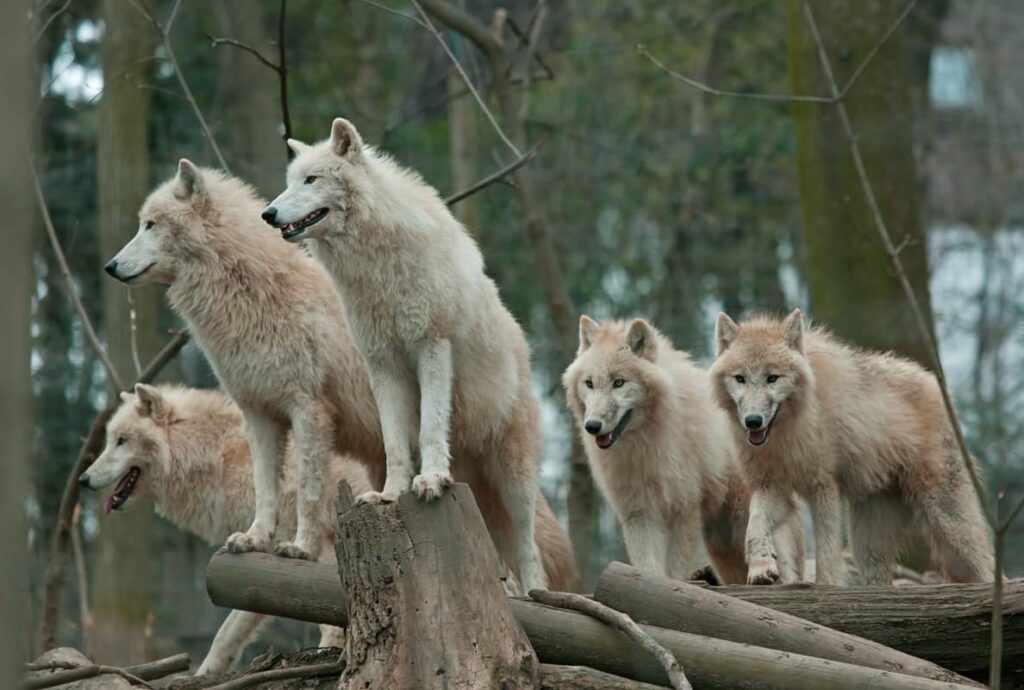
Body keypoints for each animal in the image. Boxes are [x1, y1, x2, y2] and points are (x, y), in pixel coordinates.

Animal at [78, 383, 373, 674]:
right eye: (109, 440)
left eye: (122, 440)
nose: (83, 479)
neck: (221, 458)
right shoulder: (260, 568)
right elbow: (225, 634)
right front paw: (206, 674)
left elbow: (333, 623)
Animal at [262, 119, 549, 590]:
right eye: (288, 182)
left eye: (311, 180)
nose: (268, 214)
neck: (375, 269)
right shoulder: (382, 363)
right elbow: (396, 440)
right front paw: (392, 492)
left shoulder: (431, 346)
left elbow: (429, 427)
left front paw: (429, 480)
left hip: (514, 477)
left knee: (529, 545)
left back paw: (537, 591)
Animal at [562, 316, 804, 584]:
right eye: (589, 383)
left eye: (619, 383)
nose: (592, 426)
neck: (645, 443)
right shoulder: (639, 513)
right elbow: (647, 566)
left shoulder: (683, 510)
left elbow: (674, 568)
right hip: (722, 548)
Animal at [709, 309, 994, 585]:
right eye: (740, 378)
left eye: (772, 378)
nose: (753, 421)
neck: (787, 431)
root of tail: (938, 386)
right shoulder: (771, 486)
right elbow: (755, 526)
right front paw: (761, 568)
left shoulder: (824, 486)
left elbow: (827, 550)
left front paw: (826, 585)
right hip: (868, 544)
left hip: (946, 520)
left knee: (987, 568)